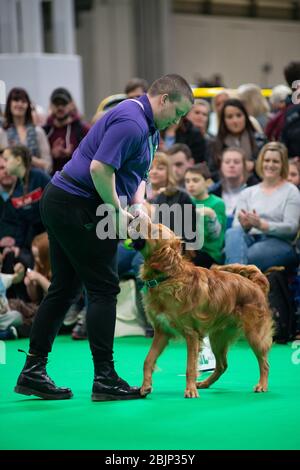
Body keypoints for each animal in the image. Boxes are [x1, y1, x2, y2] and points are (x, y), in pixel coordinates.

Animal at [127, 220, 274, 396]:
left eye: (155, 230)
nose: (135, 217)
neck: (168, 277)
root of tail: (256, 285)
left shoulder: (191, 334)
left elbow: (190, 366)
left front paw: (190, 390)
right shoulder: (162, 332)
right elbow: (148, 360)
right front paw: (145, 386)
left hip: (254, 335)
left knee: (264, 362)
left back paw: (262, 385)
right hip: (217, 338)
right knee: (222, 365)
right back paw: (204, 383)